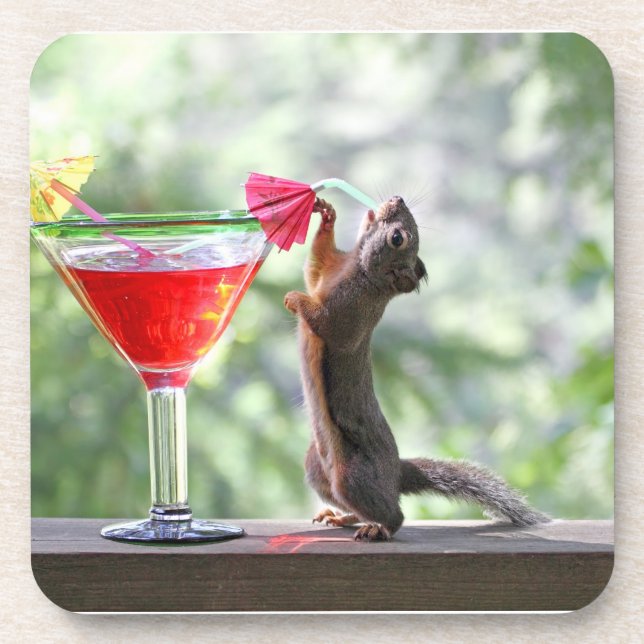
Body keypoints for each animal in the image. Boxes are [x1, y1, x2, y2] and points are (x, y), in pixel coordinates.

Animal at [284, 195, 549, 541]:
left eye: (397, 238)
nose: (397, 198)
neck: (358, 270)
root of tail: (396, 473)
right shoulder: (326, 271)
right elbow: (314, 266)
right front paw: (327, 215)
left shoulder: (348, 314)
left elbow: (323, 320)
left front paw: (295, 298)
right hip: (317, 467)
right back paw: (341, 517)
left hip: (352, 476)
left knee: (394, 514)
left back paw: (378, 529)